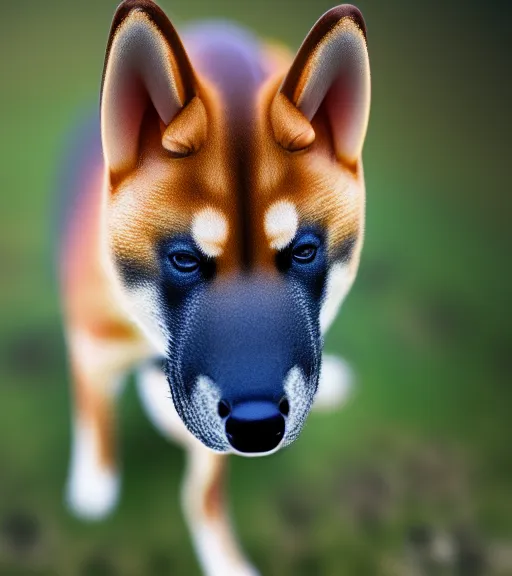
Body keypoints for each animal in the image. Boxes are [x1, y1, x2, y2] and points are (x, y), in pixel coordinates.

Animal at [60, 2, 370, 572]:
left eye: (304, 252)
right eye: (183, 259)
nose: (257, 425)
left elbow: (202, 493)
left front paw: (224, 559)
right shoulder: (92, 343)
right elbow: (95, 411)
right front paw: (94, 482)